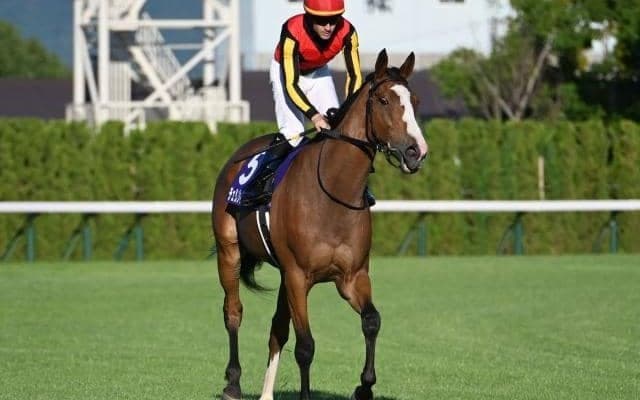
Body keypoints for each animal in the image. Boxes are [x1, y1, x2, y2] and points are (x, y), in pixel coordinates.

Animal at [211, 49, 428, 400]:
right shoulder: (299, 276)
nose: (416, 152)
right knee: (233, 312)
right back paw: (232, 383)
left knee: (277, 329)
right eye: (383, 100)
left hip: (282, 275)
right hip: (228, 251)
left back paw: (267, 393)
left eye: (415, 101)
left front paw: (364, 386)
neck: (333, 191)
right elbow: (306, 346)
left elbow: (372, 320)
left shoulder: (352, 276)